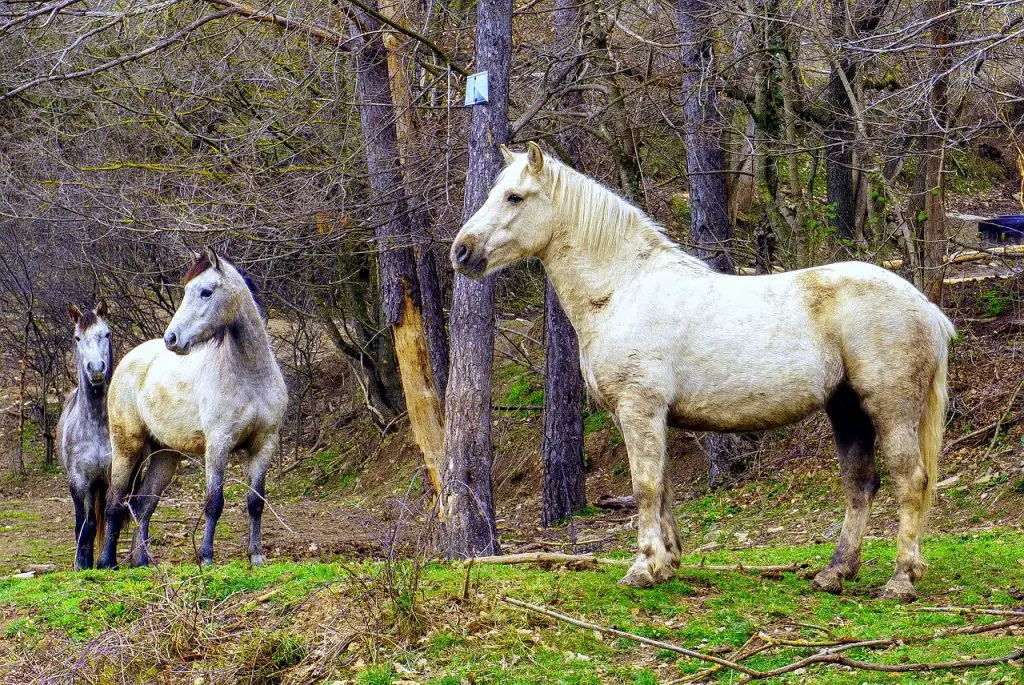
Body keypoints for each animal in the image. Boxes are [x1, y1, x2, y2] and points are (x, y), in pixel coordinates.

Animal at [98, 248, 288, 569]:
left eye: (206, 292)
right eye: (187, 290)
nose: (172, 339)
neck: (251, 376)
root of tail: (129, 360)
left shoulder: (264, 445)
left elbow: (255, 502)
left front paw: (256, 557)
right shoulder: (218, 444)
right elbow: (214, 502)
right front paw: (207, 557)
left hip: (165, 455)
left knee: (143, 503)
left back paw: (142, 561)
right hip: (127, 447)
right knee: (116, 501)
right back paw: (107, 563)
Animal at [452, 143, 954, 597]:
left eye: (514, 197)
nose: (462, 251)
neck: (623, 290)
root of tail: (927, 308)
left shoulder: (639, 409)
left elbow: (645, 487)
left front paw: (643, 567)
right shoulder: (650, 417)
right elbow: (664, 487)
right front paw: (668, 564)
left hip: (890, 410)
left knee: (910, 481)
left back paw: (900, 580)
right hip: (846, 410)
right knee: (860, 484)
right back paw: (835, 573)